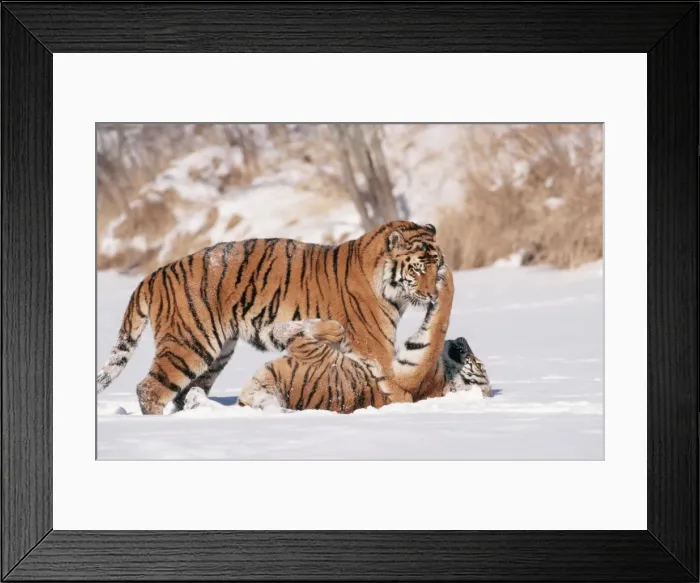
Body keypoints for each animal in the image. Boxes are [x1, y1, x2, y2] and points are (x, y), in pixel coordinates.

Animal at [96, 221, 444, 415]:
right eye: (417, 268)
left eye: (437, 265)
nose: (433, 295)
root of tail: (153, 274)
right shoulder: (376, 347)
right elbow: (396, 386)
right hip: (189, 344)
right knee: (150, 389)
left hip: (217, 353)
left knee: (185, 393)